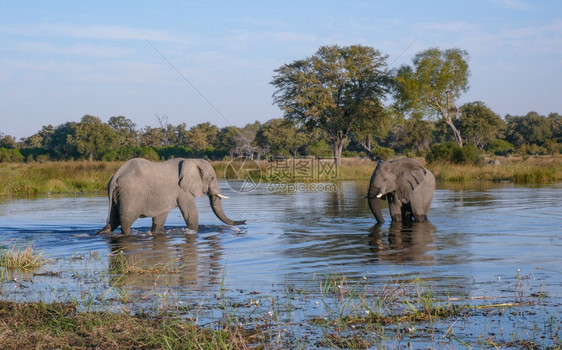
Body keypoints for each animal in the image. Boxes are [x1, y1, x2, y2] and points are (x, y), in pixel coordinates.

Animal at [97, 159, 245, 235]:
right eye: (213, 178)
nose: (244, 222)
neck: (191, 160)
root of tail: (115, 177)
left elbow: (160, 216)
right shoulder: (182, 189)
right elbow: (190, 211)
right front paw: (194, 231)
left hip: (118, 195)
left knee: (113, 220)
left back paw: (102, 233)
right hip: (131, 194)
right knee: (126, 221)